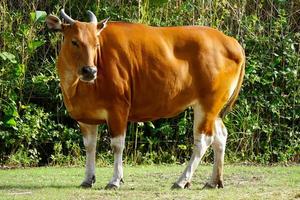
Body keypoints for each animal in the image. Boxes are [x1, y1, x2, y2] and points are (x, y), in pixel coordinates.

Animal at [45, 9, 245, 190]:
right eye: (74, 41)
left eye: (96, 44)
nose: (90, 71)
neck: (79, 85)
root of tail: (231, 42)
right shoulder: (85, 118)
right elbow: (89, 146)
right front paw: (88, 179)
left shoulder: (118, 110)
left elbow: (117, 145)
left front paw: (115, 180)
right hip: (213, 108)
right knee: (221, 136)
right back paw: (213, 181)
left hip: (208, 104)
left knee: (203, 141)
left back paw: (182, 181)